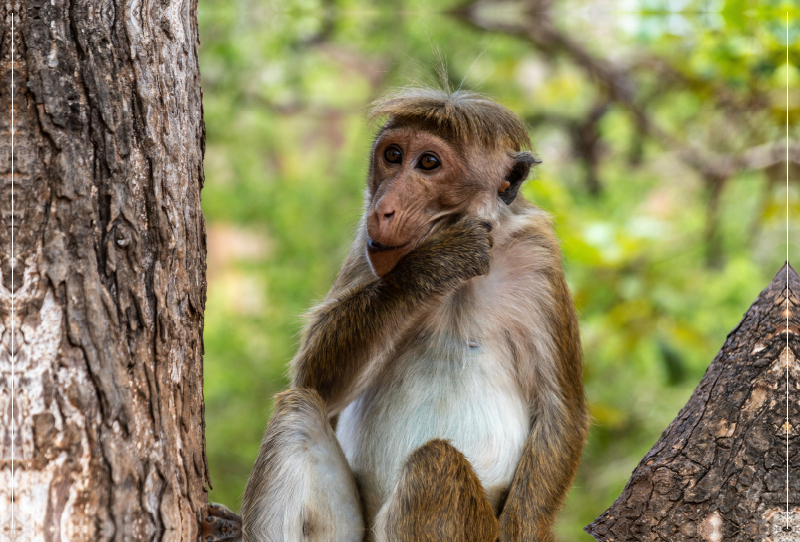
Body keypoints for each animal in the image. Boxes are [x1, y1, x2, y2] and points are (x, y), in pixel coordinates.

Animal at [241, 86, 592, 542]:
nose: (382, 209)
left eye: (428, 163)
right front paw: (435, 264)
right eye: (392, 155)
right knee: (298, 410)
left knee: (436, 462)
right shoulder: (365, 241)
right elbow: (317, 380)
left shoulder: (540, 258)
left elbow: (560, 411)